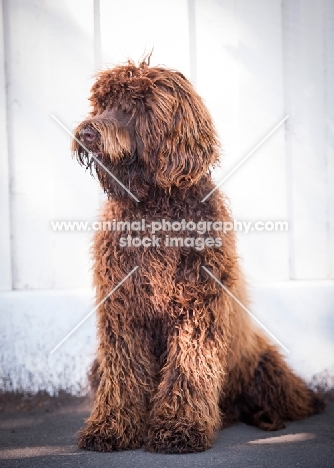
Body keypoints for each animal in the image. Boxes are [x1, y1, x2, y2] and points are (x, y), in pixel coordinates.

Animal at [72, 58, 324, 454]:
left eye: (134, 105)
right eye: (102, 104)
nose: (85, 132)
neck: (156, 207)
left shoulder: (197, 308)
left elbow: (189, 367)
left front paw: (179, 428)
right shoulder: (123, 311)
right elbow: (123, 373)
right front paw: (111, 428)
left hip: (263, 365)